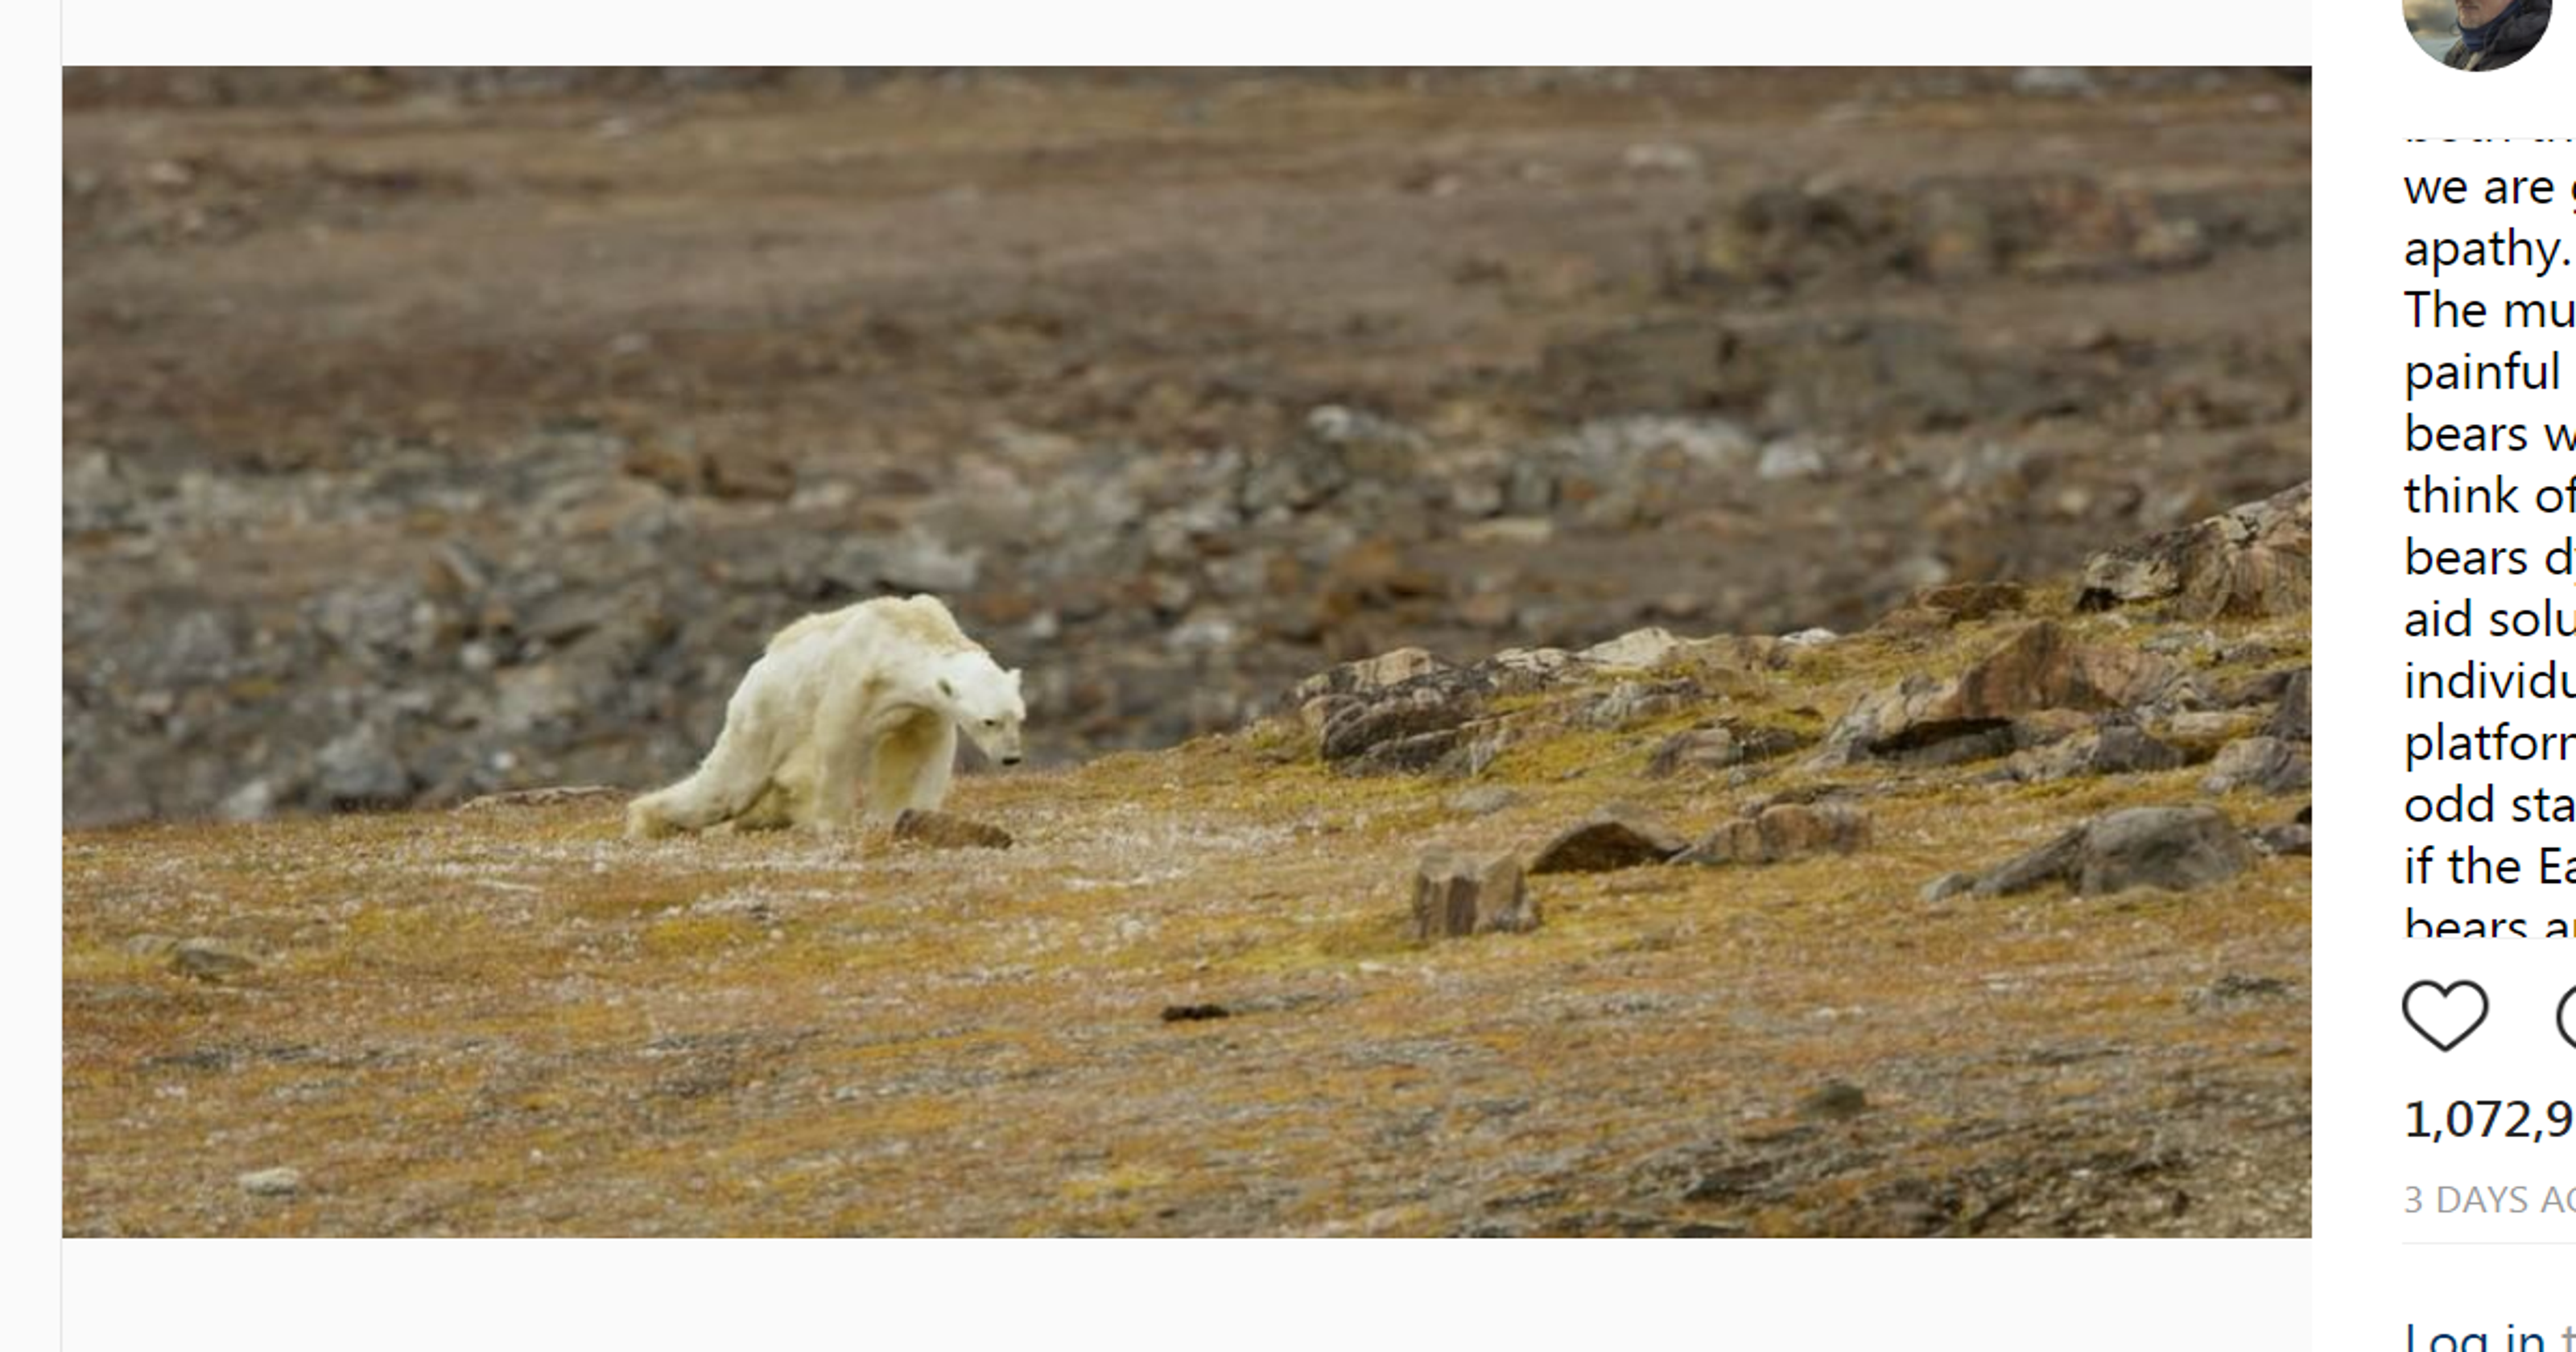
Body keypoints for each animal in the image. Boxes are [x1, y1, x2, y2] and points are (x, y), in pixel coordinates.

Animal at [626, 594, 1026, 840]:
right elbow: (837, 745)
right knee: (726, 787)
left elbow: (916, 755)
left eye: (1018, 717)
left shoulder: (921, 709)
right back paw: (647, 819)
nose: (1011, 758)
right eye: (989, 721)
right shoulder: (855, 679)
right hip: (765, 713)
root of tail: (758, 666)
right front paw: (831, 822)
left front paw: (909, 815)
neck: (905, 632)